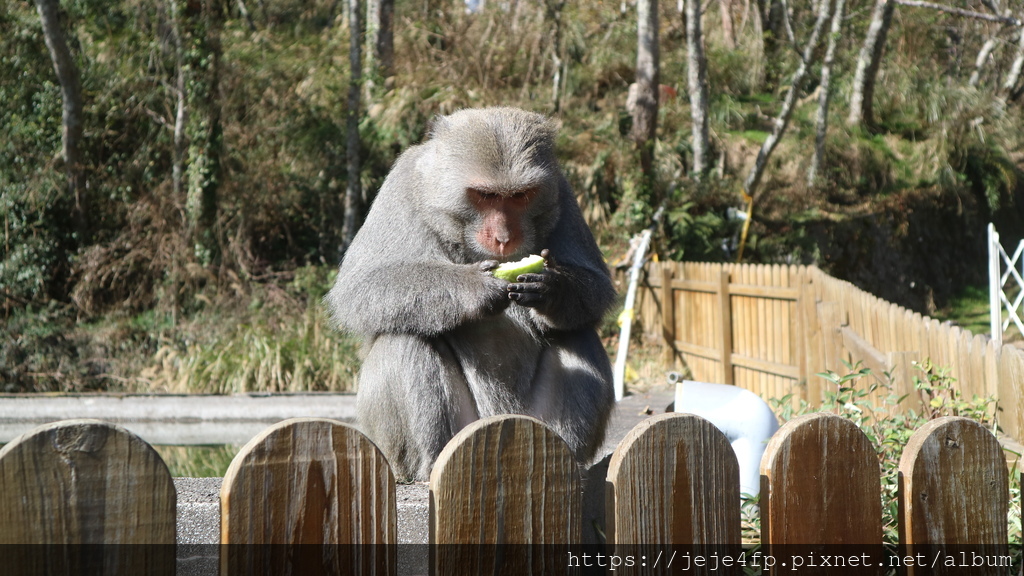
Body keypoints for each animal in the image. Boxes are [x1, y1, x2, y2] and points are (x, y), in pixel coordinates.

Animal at [327, 105, 614, 477]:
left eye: (519, 196)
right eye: (486, 195)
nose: (504, 238)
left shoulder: (561, 191)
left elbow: (596, 288)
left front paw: (553, 289)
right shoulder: (401, 184)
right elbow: (361, 288)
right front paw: (475, 288)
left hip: (531, 418)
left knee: (577, 332)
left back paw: (564, 457)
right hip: (461, 428)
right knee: (403, 338)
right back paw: (430, 464)